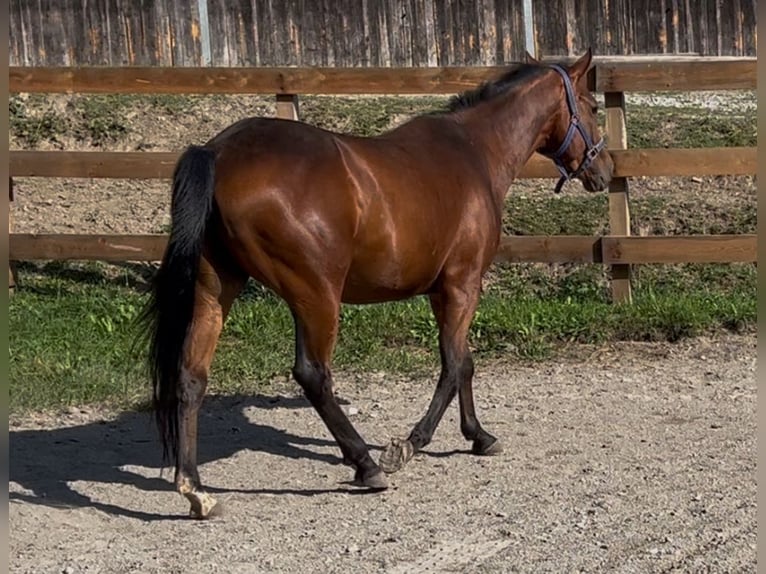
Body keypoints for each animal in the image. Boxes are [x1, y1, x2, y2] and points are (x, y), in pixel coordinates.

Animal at [139, 49, 613, 518]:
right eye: (593, 107)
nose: (605, 170)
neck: (475, 151)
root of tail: (218, 152)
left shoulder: (444, 292)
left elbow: (464, 362)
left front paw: (478, 435)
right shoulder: (463, 285)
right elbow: (454, 364)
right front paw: (411, 444)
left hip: (216, 290)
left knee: (191, 376)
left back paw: (195, 489)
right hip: (316, 296)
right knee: (313, 375)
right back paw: (366, 465)